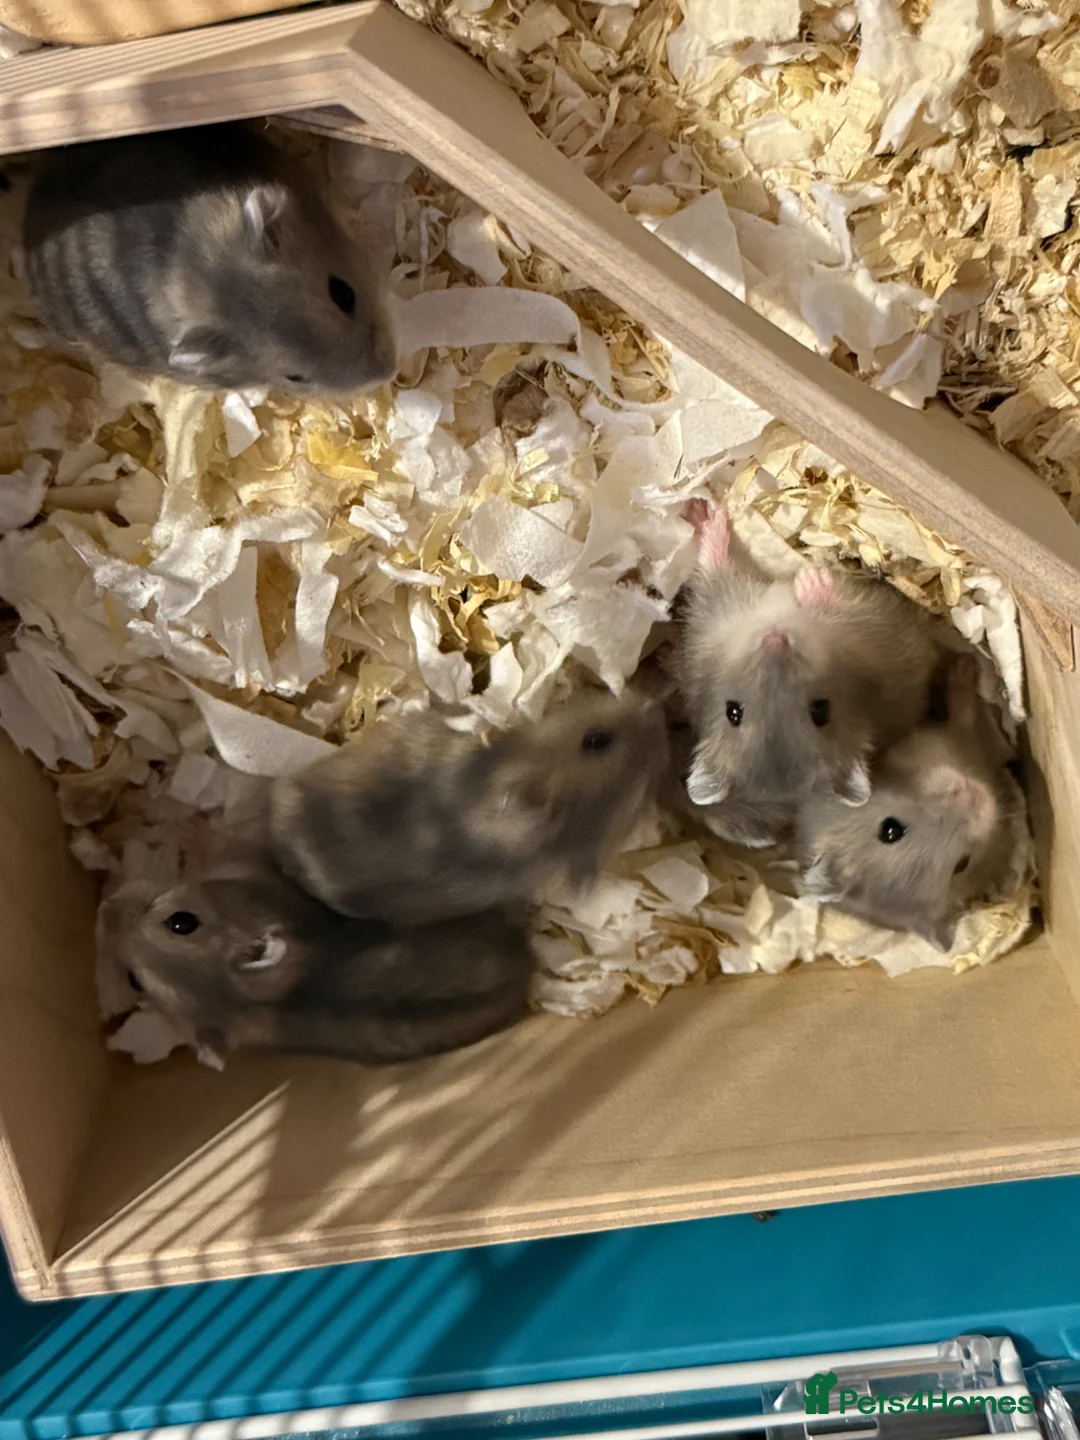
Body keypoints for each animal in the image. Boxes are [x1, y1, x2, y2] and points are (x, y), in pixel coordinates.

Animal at [678, 502, 946, 846]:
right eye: (732, 712)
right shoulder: (714, 616)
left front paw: (810, 580)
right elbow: (715, 566)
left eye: (821, 711)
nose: (775, 638)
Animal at [796, 653, 1023, 950]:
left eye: (890, 830)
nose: (970, 796)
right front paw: (964, 666)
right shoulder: (957, 737)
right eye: (961, 864)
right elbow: (962, 715)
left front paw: (963, 662)